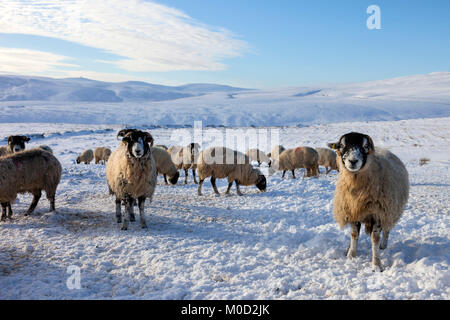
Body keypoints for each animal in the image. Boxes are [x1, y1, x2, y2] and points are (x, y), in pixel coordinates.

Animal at [328, 131, 410, 272]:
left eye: (365, 146)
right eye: (342, 145)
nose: (353, 161)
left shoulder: (378, 213)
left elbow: (375, 239)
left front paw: (376, 265)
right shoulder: (352, 211)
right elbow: (354, 235)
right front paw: (351, 255)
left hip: (390, 209)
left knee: (387, 229)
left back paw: (383, 245)